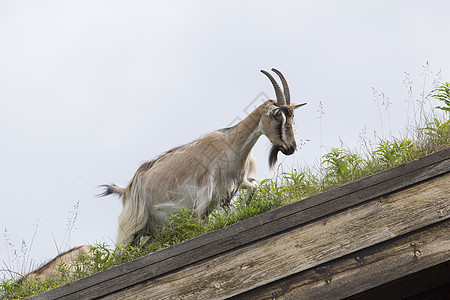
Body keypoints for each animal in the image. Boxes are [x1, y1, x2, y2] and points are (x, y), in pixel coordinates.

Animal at [100, 68, 306, 246]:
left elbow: (253, 187)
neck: (230, 144)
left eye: (292, 117)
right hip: (132, 226)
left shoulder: (233, 185)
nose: (291, 147)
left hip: (149, 232)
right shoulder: (203, 195)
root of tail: (127, 189)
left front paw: (240, 211)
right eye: (278, 117)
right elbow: (200, 224)